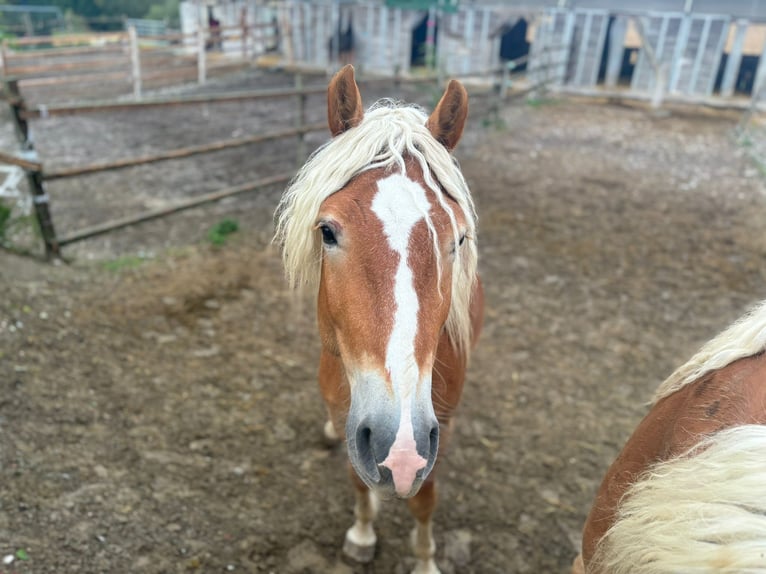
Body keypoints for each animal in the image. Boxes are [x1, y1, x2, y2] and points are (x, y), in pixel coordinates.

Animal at [272, 64, 484, 574]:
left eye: (458, 239)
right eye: (327, 231)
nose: (398, 447)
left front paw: (425, 562)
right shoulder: (358, 424)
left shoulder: (432, 436)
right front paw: (362, 534)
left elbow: (424, 499)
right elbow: (357, 478)